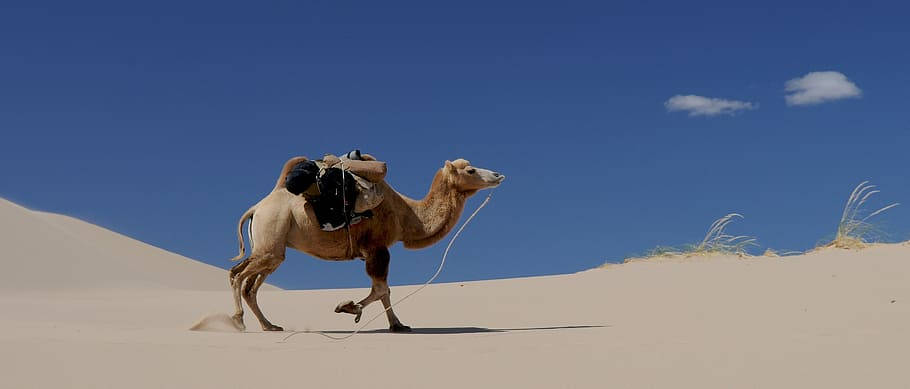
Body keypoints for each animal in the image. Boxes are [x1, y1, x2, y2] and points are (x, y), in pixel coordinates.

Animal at [228, 156, 506, 332]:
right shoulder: (377, 248)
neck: (407, 215)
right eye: (470, 171)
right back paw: (239, 321)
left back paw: (269, 326)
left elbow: (384, 290)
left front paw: (398, 325)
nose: (497, 175)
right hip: (271, 234)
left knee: (250, 285)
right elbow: (381, 289)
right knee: (237, 275)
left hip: (272, 249)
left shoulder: (375, 251)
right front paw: (349, 308)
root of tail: (257, 207)